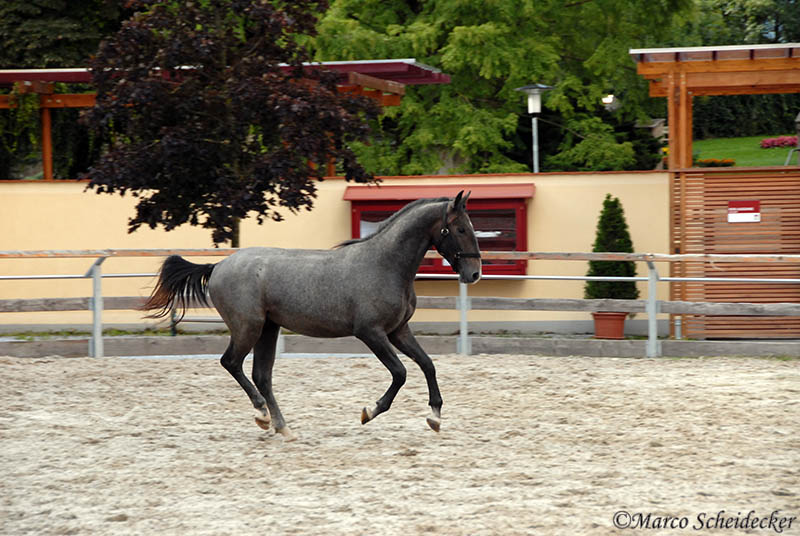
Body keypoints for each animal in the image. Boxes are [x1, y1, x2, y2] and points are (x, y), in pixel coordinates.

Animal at [142, 191, 482, 440]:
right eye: (460, 229)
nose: (474, 273)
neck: (384, 265)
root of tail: (218, 266)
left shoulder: (398, 330)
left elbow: (427, 364)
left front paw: (434, 417)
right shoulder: (371, 333)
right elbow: (400, 372)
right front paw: (369, 412)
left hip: (268, 329)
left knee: (261, 375)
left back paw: (283, 428)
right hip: (248, 327)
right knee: (232, 363)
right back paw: (262, 415)